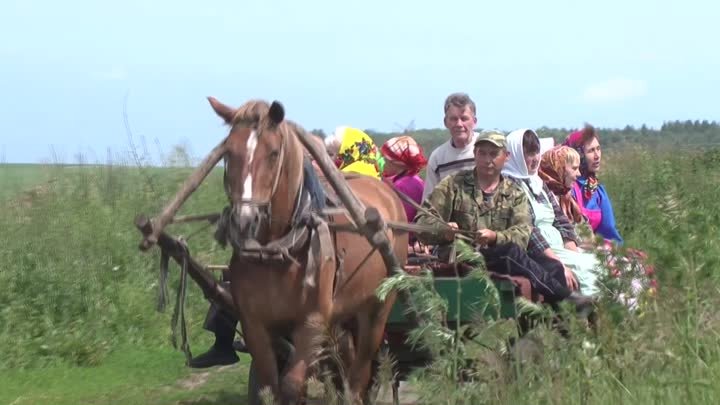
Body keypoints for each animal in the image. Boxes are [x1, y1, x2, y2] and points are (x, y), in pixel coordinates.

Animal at [208, 97, 410, 404]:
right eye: (228, 152)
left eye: (273, 153)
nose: (245, 221)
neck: (277, 252)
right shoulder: (255, 323)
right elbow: (269, 386)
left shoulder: (311, 322)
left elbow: (292, 385)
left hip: (377, 308)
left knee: (359, 373)